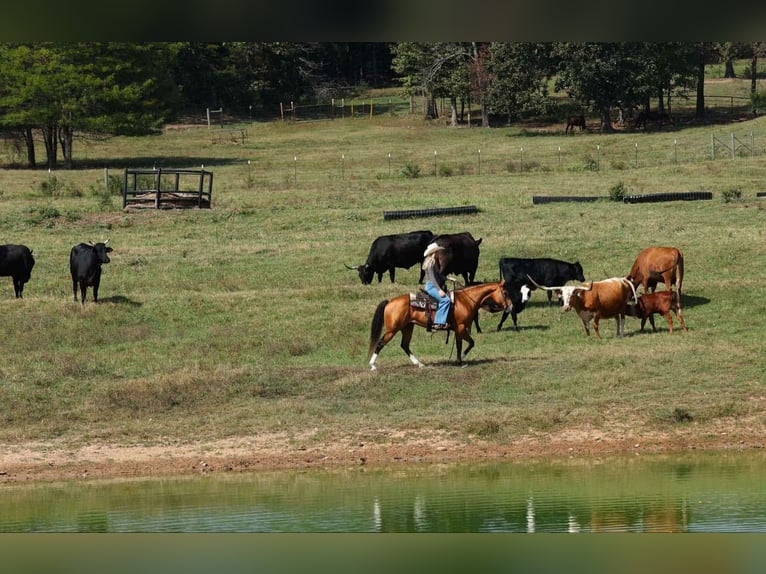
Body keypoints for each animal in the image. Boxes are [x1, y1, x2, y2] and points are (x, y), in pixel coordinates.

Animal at [367, 281, 512, 370]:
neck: (465, 301)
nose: (511, 306)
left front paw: (460, 359)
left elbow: (467, 343)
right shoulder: (460, 327)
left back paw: (419, 364)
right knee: (380, 343)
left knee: (405, 345)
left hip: (407, 327)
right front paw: (461, 360)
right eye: (505, 293)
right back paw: (372, 365)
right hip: (392, 329)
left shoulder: (459, 329)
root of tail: (389, 302)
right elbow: (465, 344)